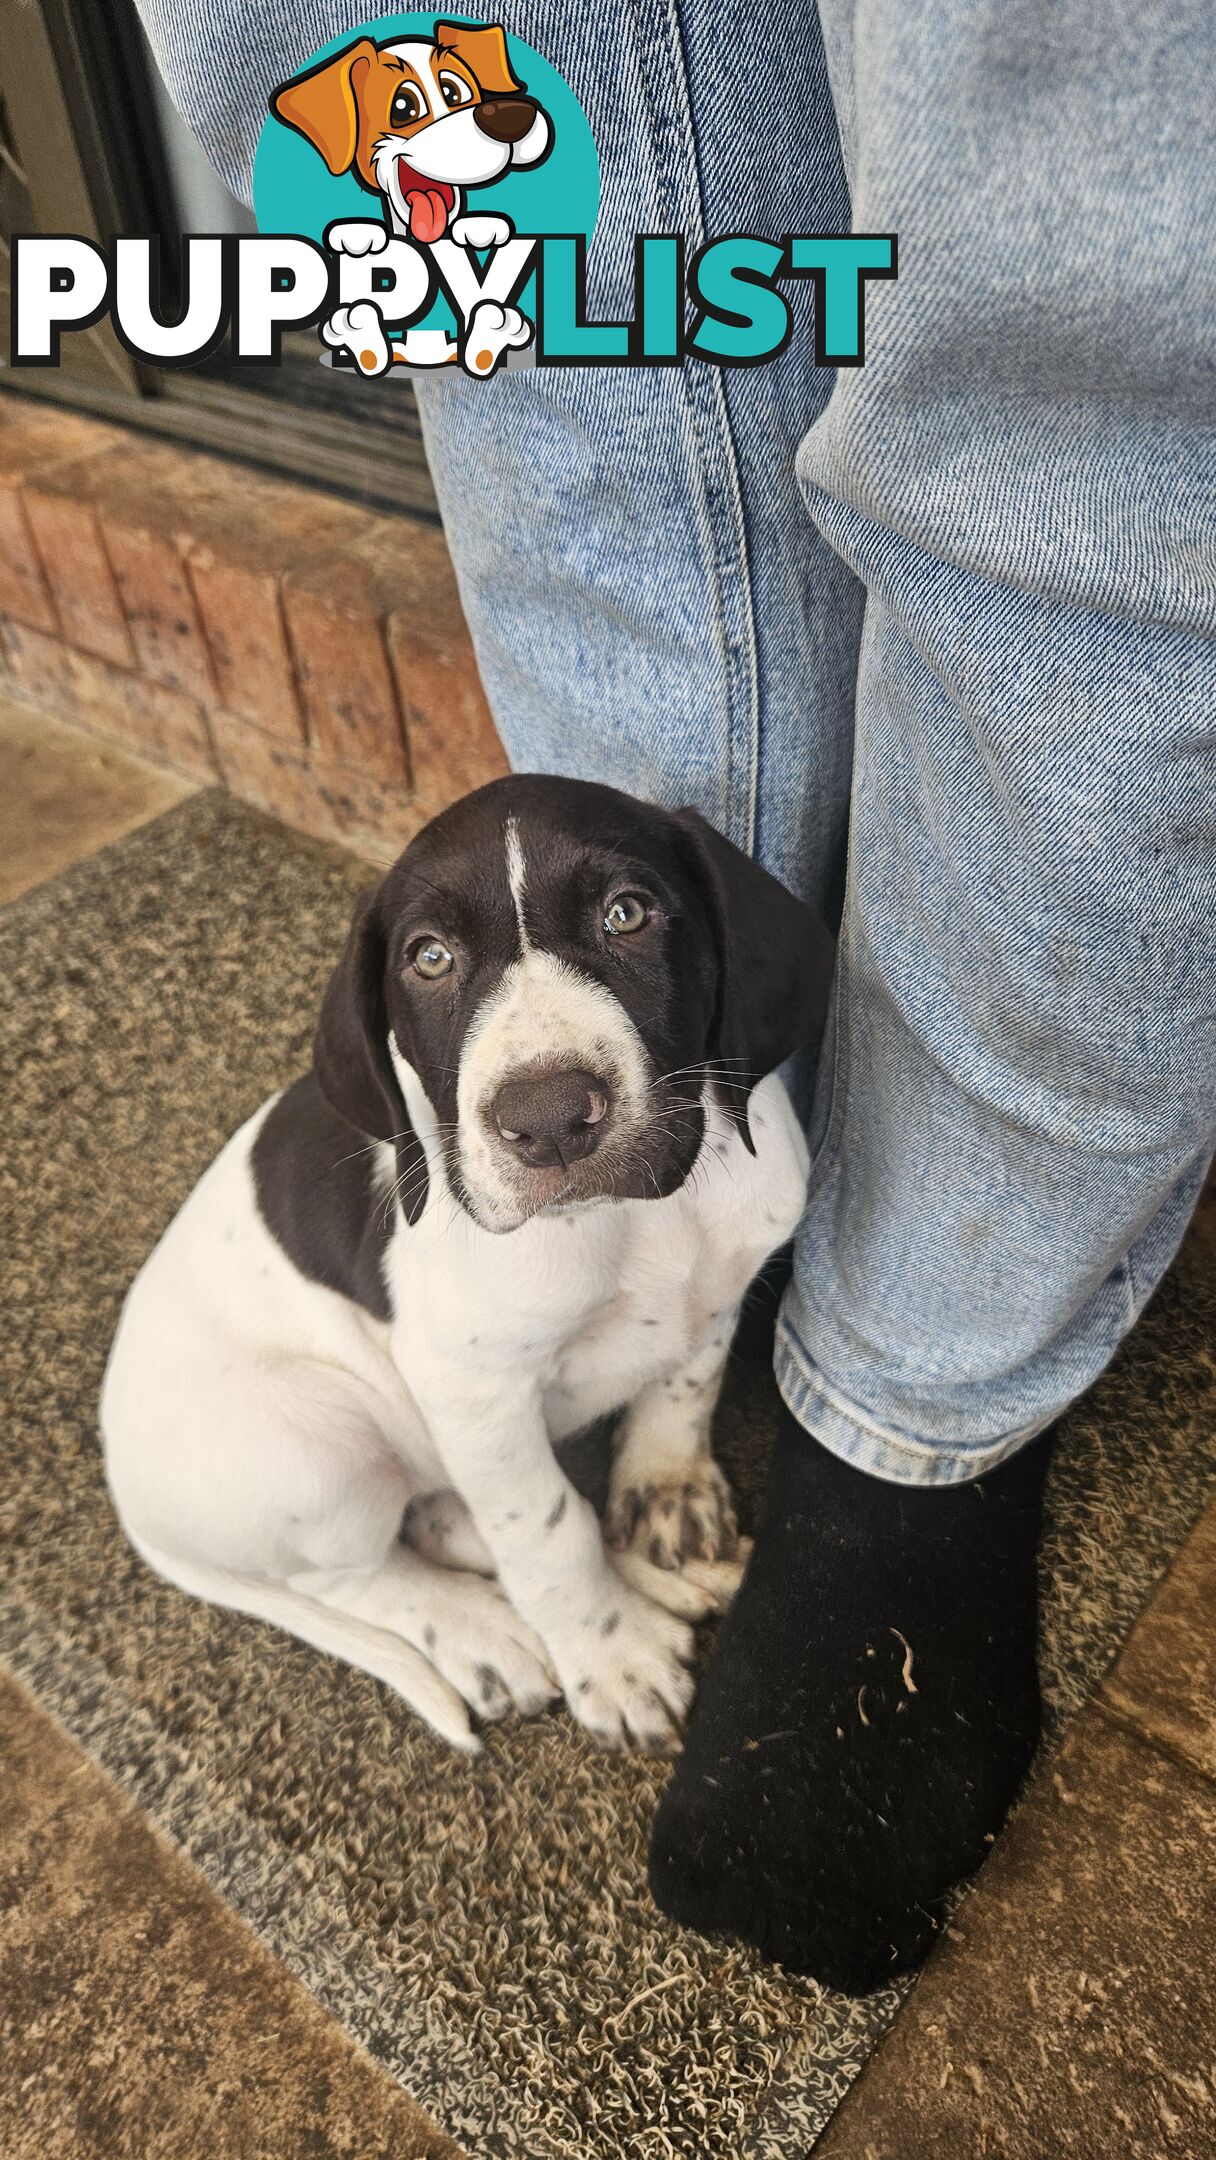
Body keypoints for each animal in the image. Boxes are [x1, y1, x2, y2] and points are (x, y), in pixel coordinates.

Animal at [102, 777, 838, 1753]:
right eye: (429, 958)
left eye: (628, 913)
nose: (550, 1117)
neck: (635, 1224)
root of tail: (126, 1491)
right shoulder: (474, 1388)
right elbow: (547, 1529)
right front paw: (612, 1657)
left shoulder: (722, 1283)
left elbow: (684, 1387)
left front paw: (666, 1502)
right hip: (321, 1444)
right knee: (353, 1573)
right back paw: (484, 1632)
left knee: (443, 1513)